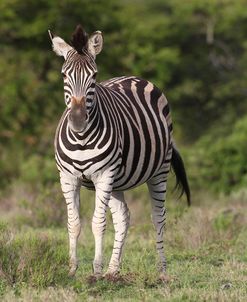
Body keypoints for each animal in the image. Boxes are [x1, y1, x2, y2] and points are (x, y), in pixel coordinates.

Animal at [48, 25, 191, 278]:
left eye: (94, 77)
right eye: (64, 75)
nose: (77, 121)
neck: (81, 139)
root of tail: (135, 77)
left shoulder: (103, 175)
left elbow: (98, 223)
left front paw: (96, 271)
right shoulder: (68, 177)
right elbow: (74, 223)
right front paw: (72, 270)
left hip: (159, 170)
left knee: (158, 217)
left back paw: (162, 270)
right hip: (118, 181)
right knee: (124, 218)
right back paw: (113, 270)